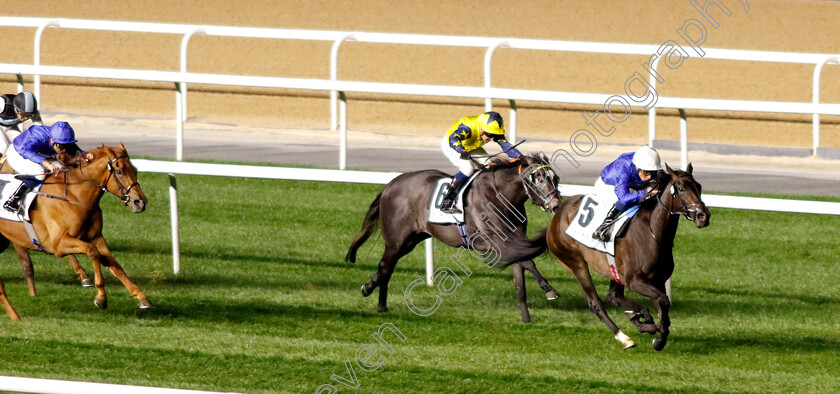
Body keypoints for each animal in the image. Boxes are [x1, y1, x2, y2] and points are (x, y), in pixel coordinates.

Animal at [0, 143, 149, 322]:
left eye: (135, 169)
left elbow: (116, 266)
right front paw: (101, 297)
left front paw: (142, 298)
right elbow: (92, 252)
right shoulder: (58, 245)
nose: (140, 202)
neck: (74, 196)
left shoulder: (96, 237)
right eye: (119, 171)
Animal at [344, 152, 560, 322]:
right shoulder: (490, 242)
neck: (501, 196)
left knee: (388, 267)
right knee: (385, 266)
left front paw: (529, 310)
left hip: (411, 240)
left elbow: (524, 263)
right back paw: (370, 291)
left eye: (555, 178)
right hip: (396, 240)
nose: (556, 204)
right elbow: (526, 259)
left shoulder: (512, 239)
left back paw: (381, 303)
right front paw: (549, 289)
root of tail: (391, 185)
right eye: (538, 178)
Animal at [544, 165, 708, 350]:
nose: (703, 216)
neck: (652, 233)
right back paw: (625, 337)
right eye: (681, 188)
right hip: (576, 263)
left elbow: (663, 309)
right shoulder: (633, 281)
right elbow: (663, 302)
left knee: (614, 297)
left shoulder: (657, 280)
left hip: (614, 271)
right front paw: (652, 331)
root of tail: (558, 214)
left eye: (699, 186)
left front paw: (653, 331)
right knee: (596, 304)